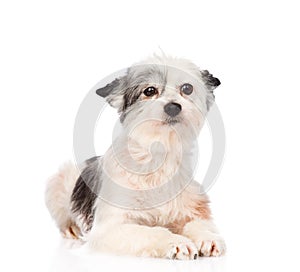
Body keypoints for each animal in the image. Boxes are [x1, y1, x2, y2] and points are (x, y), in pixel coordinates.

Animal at [45, 54, 226, 260]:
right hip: (59, 181)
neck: (157, 158)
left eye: (187, 88)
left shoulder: (193, 209)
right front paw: (176, 242)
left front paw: (208, 237)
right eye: (150, 90)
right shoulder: (110, 229)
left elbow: (199, 224)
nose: (173, 107)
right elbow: (152, 232)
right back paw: (71, 228)